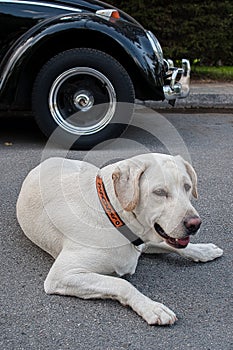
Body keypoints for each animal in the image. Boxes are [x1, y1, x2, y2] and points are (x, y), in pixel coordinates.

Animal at [17, 154, 223, 326]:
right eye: (159, 192)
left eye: (187, 187)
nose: (195, 224)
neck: (113, 212)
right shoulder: (62, 275)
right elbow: (122, 284)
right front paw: (152, 307)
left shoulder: (144, 241)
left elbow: (176, 246)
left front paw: (203, 250)